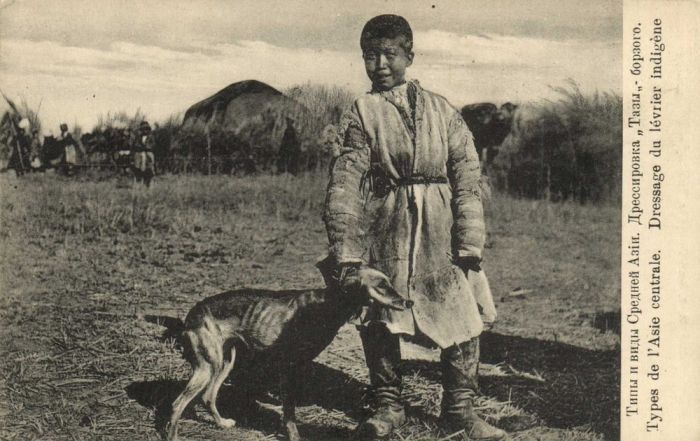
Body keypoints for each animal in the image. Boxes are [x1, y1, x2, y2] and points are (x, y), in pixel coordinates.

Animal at [163, 266, 412, 441]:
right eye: (381, 285)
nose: (408, 302)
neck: (327, 304)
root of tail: (191, 314)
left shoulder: (297, 368)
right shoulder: (289, 367)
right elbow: (289, 413)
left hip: (224, 363)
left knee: (207, 397)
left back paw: (221, 423)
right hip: (207, 367)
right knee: (176, 404)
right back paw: (173, 435)